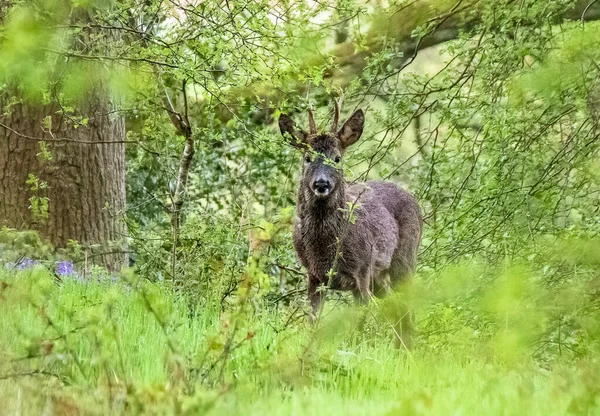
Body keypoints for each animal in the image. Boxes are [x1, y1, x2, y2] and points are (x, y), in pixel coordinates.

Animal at [278, 101, 422, 348]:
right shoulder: (314, 275)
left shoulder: (362, 271)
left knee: (406, 309)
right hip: (379, 278)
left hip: (404, 260)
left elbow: (359, 325)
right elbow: (312, 322)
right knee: (395, 307)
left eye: (337, 158)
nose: (321, 184)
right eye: (307, 158)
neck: (324, 249)